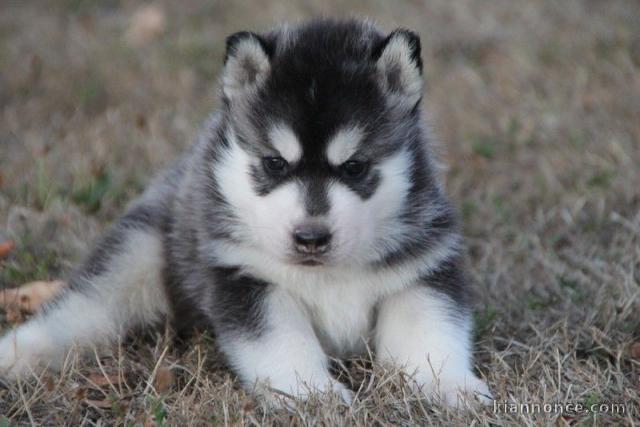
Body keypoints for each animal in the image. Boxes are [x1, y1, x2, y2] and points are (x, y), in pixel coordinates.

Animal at [0, 19, 490, 408]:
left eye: (354, 167)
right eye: (275, 163)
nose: (311, 238)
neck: (326, 273)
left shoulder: (422, 267)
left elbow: (429, 335)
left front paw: (451, 387)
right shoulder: (243, 277)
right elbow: (283, 342)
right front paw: (313, 394)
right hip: (138, 254)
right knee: (81, 310)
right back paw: (19, 355)